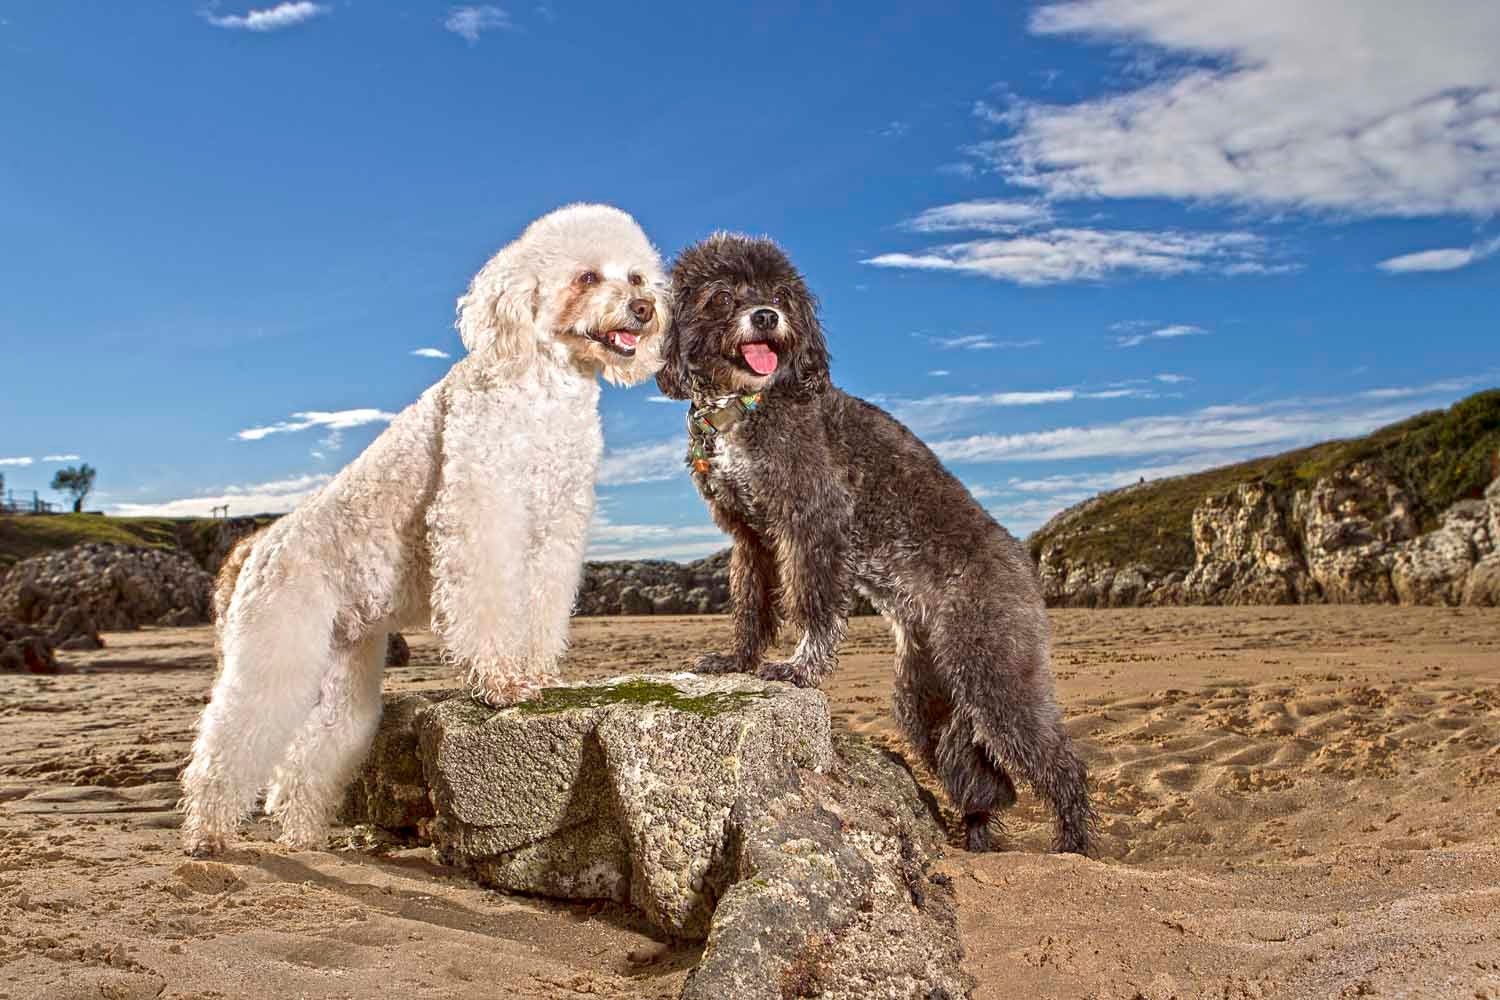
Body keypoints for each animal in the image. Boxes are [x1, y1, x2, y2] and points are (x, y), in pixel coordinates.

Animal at [178, 205, 666, 863]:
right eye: (587, 276)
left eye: (636, 276)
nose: (643, 308)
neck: (544, 387)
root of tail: (257, 547)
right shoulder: (482, 512)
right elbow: (487, 602)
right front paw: (501, 684)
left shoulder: (555, 529)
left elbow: (540, 608)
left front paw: (536, 673)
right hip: (276, 647)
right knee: (230, 735)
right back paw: (207, 832)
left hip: (345, 669)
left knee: (311, 756)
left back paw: (303, 835)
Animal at [663, 232, 1098, 851]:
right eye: (721, 296)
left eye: (781, 295)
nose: (766, 317)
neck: (747, 404)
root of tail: (1023, 563)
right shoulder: (750, 538)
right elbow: (751, 606)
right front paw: (736, 659)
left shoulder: (813, 522)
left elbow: (814, 604)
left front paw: (800, 667)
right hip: (927, 699)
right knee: (979, 779)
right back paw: (978, 840)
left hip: (996, 673)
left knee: (1060, 762)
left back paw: (1073, 846)